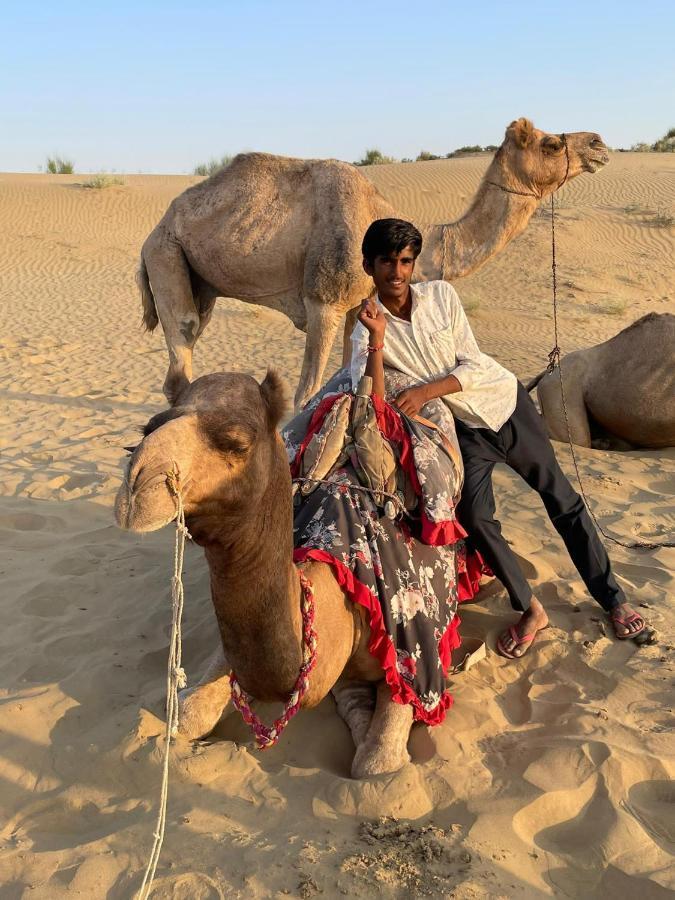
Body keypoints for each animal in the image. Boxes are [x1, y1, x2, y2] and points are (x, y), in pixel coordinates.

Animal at [115, 370, 418, 776]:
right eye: (148, 427)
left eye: (237, 442)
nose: (135, 489)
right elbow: (187, 714)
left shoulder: (414, 651)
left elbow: (376, 766)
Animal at [139, 118, 612, 406]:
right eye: (551, 143)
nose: (599, 143)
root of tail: (157, 227)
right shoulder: (323, 302)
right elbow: (305, 395)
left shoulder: (354, 309)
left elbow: (350, 379)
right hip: (165, 253)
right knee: (183, 338)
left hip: (199, 278)